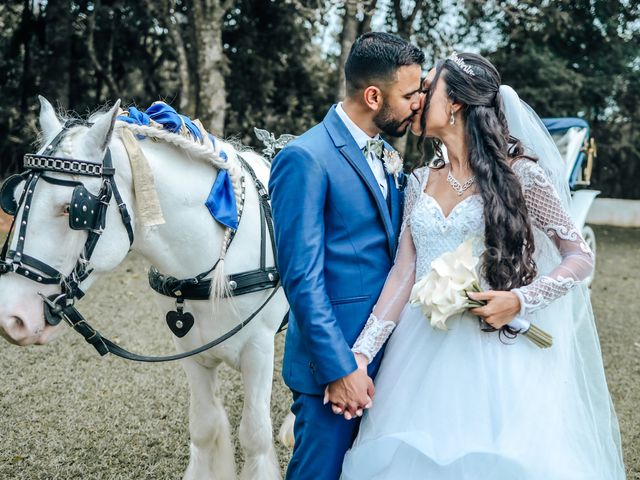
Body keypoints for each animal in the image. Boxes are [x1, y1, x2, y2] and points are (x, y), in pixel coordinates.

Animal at [0, 97, 288, 480]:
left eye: (72, 209)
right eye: (13, 197)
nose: (11, 318)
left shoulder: (258, 349)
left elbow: (255, 436)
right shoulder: (190, 350)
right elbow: (204, 427)